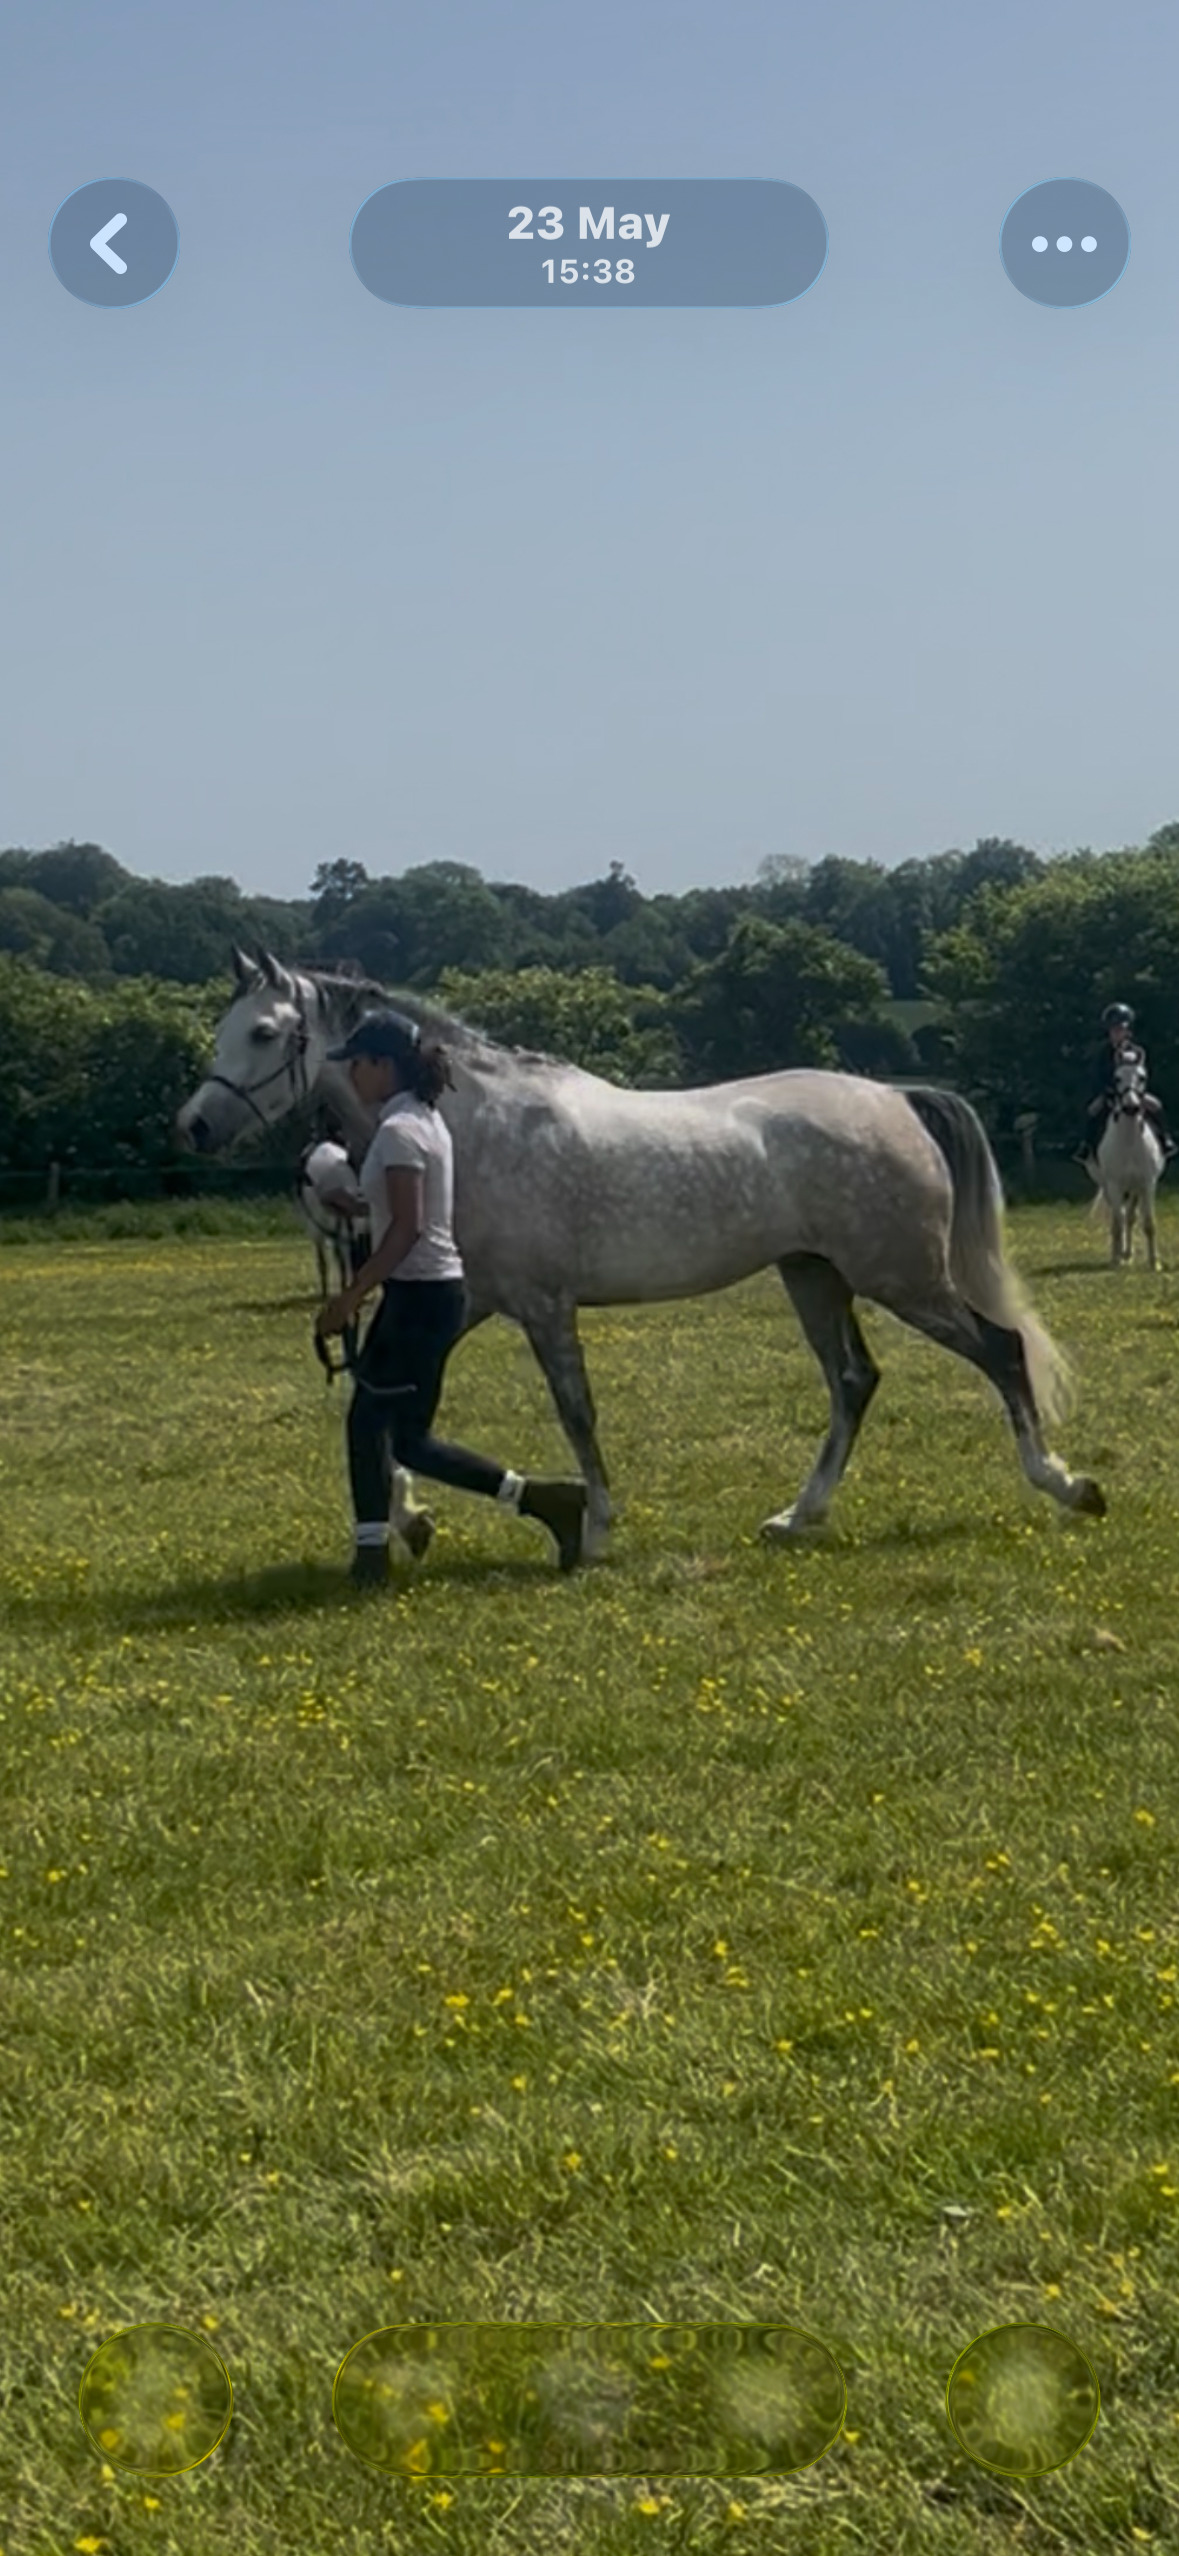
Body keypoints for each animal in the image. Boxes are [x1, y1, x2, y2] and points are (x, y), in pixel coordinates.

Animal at [174, 945, 1107, 1555]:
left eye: (264, 1032)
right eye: (225, 1028)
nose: (194, 1127)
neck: (470, 1126)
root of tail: (894, 1098)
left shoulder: (541, 1307)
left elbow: (574, 1412)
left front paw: (592, 1526)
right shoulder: (470, 1299)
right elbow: (391, 1410)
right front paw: (408, 1517)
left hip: (901, 1277)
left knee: (999, 1349)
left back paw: (1065, 1484)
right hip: (814, 1277)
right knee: (853, 1382)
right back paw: (794, 1517)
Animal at [1089, 1053, 1165, 1270]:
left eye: (1142, 1077)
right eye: (1117, 1078)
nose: (1131, 1107)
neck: (1130, 1142)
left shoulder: (1147, 1184)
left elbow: (1148, 1223)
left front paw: (1154, 1263)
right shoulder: (1114, 1185)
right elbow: (1116, 1223)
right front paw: (1115, 1260)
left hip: (1134, 1190)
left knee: (1130, 1218)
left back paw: (1128, 1254)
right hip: (1110, 1187)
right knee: (1121, 1217)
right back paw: (1120, 1255)